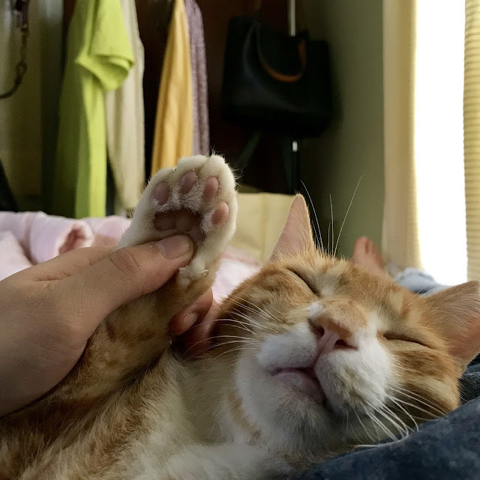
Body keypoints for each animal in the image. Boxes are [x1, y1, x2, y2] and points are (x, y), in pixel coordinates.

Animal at [1, 154, 480, 480]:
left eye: (404, 339)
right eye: (304, 281)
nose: (335, 328)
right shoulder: (34, 423)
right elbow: (118, 336)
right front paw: (183, 226)